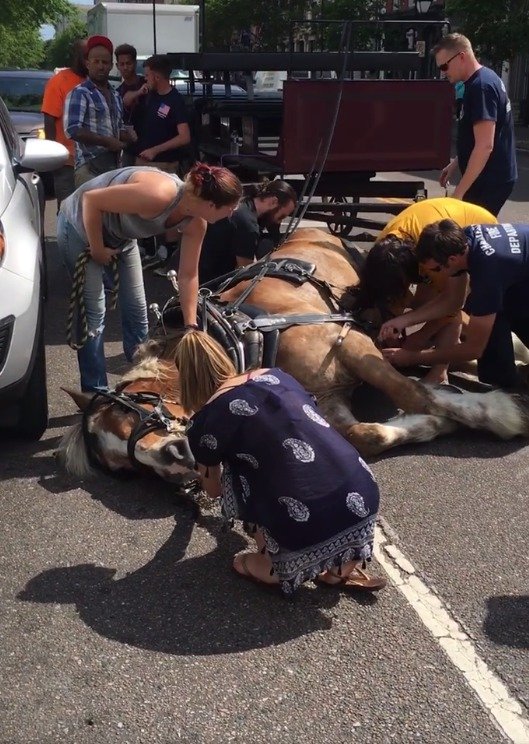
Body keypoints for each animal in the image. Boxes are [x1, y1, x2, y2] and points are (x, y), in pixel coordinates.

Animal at [56, 224, 528, 486]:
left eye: (128, 407)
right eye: (124, 470)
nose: (174, 459)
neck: (239, 337)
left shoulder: (350, 344)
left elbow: (413, 393)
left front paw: (500, 413)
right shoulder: (331, 395)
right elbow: (366, 436)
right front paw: (431, 423)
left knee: (446, 322)